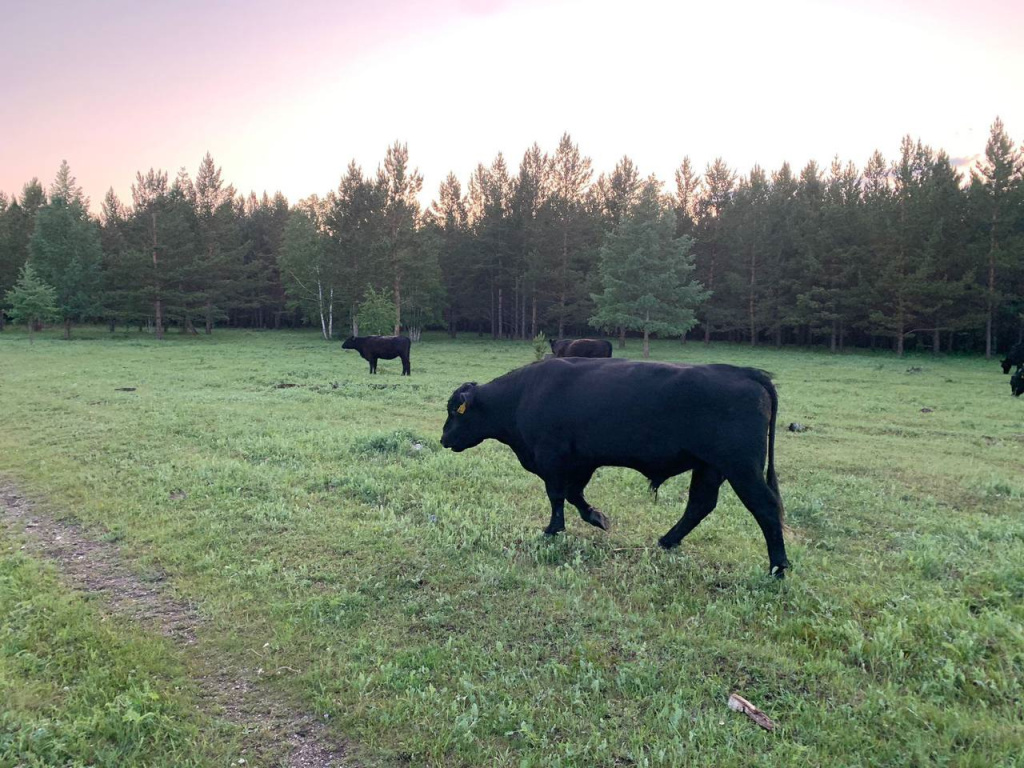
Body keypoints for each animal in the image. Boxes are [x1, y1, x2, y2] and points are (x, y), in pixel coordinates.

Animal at [442, 360, 790, 577]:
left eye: (456, 411)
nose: (444, 438)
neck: (522, 394)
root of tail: (744, 372)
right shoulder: (582, 461)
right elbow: (573, 495)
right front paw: (597, 518)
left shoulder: (552, 458)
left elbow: (557, 495)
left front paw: (554, 529)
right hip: (709, 467)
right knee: (700, 505)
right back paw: (667, 541)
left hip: (741, 468)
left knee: (765, 508)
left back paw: (778, 568)